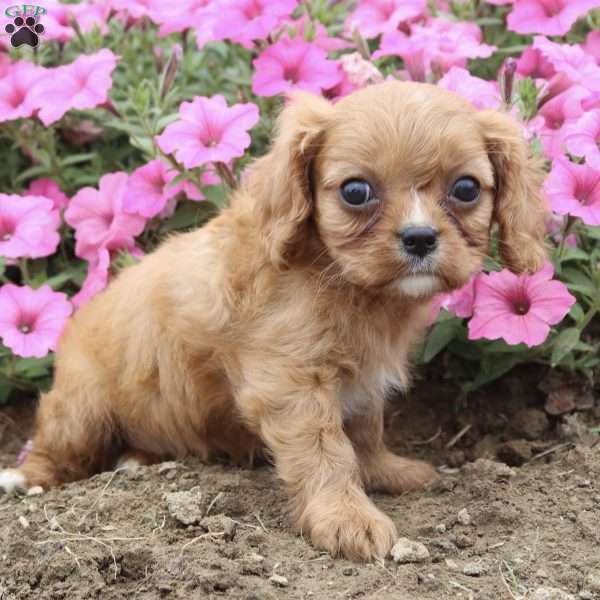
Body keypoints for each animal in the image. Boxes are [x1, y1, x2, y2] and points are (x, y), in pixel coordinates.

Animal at [0, 82, 548, 560]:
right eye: (356, 191)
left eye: (466, 188)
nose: (419, 238)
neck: (344, 281)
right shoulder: (291, 380)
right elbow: (327, 451)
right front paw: (346, 519)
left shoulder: (362, 381)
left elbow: (364, 432)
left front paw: (386, 472)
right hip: (84, 406)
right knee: (57, 449)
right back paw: (27, 477)